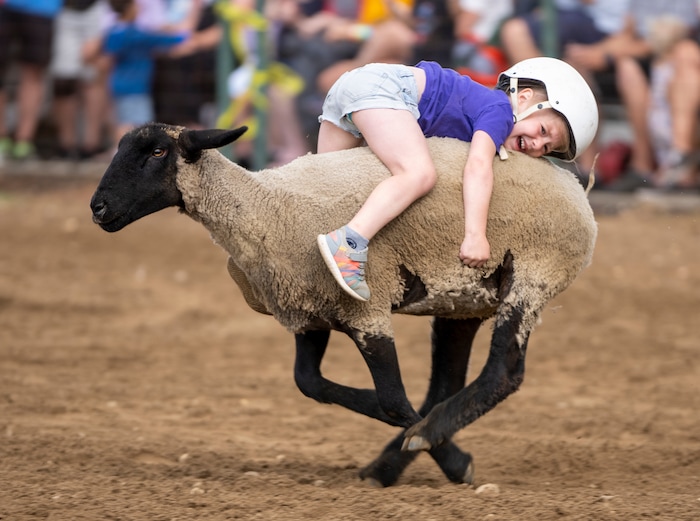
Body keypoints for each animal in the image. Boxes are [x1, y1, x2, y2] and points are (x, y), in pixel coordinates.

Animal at [90, 123, 600, 488]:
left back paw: (423, 438)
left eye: (158, 153)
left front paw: (449, 456)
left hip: (532, 275)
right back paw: (394, 461)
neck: (263, 207)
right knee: (446, 384)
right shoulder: (306, 312)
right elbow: (311, 383)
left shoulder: (366, 312)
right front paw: (429, 450)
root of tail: (575, 187)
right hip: (463, 298)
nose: (98, 209)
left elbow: (395, 401)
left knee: (503, 372)